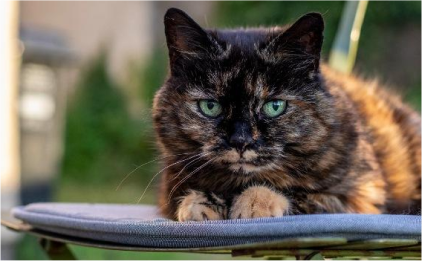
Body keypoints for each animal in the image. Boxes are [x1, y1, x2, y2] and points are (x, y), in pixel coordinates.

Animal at [152, 7, 422, 219]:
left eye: (274, 106)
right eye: (210, 106)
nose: (241, 141)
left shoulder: (359, 197)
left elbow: (302, 194)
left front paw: (254, 202)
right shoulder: (169, 188)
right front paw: (198, 203)